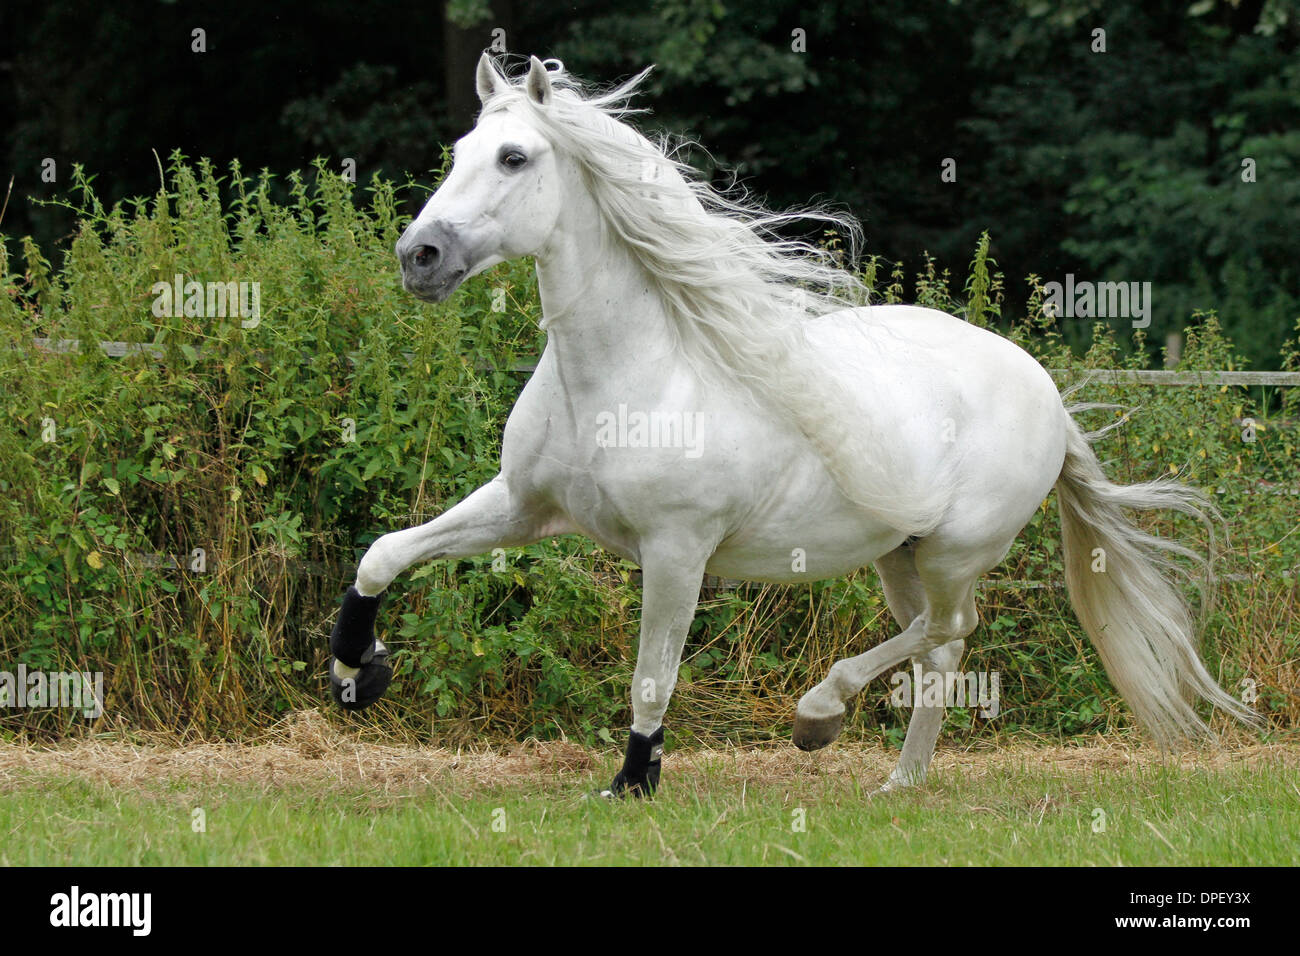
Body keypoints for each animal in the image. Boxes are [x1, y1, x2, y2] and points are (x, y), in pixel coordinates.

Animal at [327, 54, 1258, 797]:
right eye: (458, 154)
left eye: (514, 157)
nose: (419, 257)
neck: (637, 376)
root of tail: (1049, 398)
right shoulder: (524, 507)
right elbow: (384, 555)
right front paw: (356, 674)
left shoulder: (677, 551)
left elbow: (651, 680)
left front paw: (632, 785)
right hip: (901, 554)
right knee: (941, 648)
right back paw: (900, 781)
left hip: (956, 551)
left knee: (945, 631)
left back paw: (821, 714)